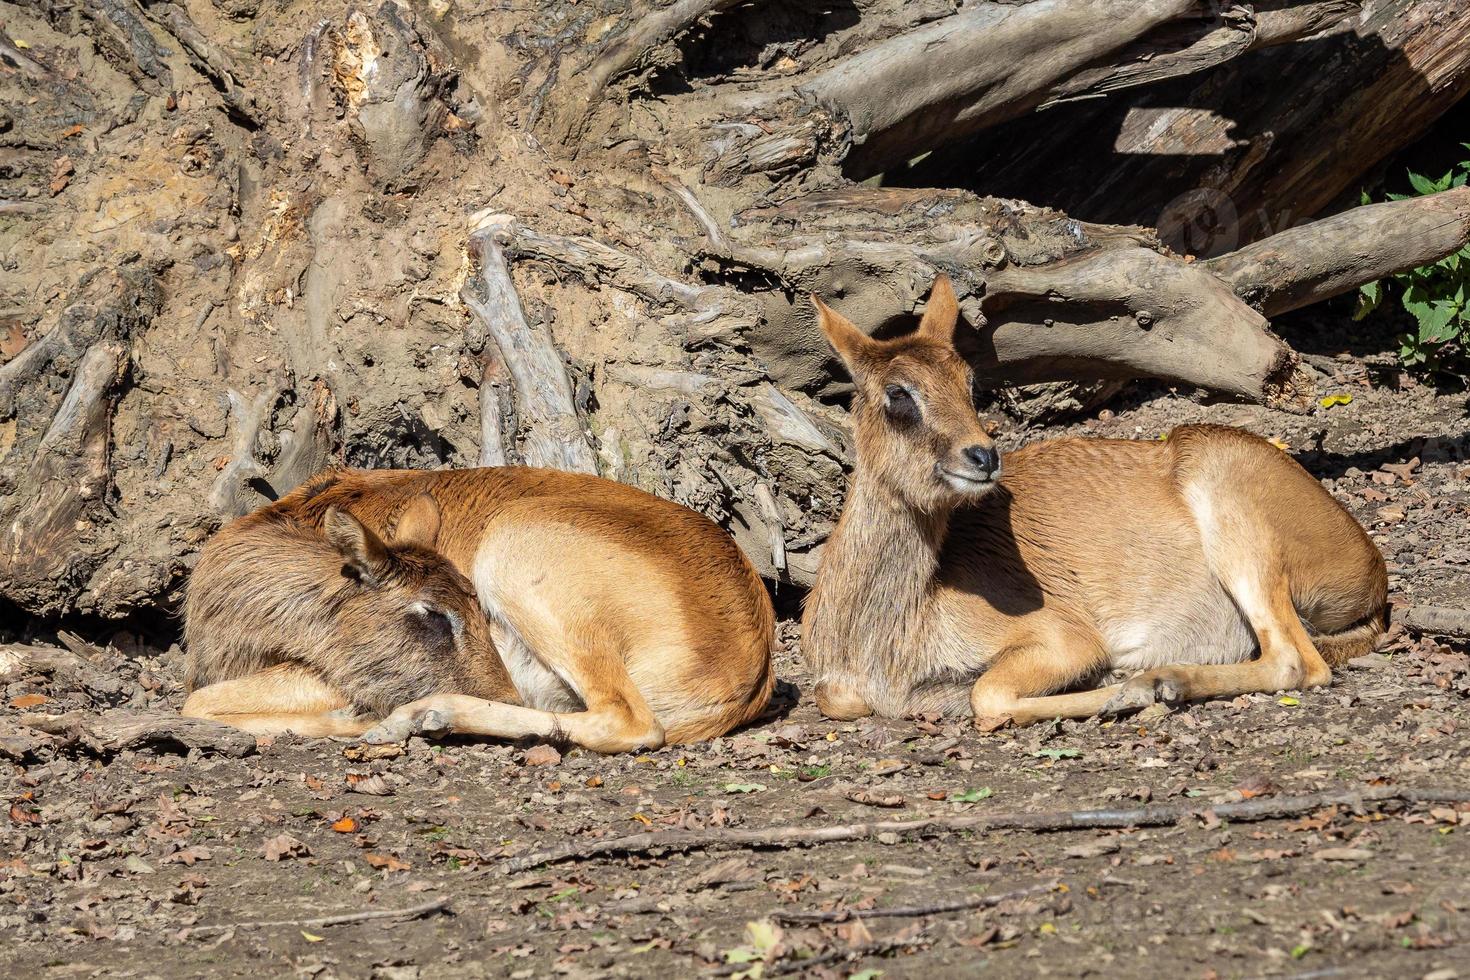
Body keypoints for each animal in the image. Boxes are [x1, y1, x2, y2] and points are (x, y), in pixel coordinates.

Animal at [182, 467, 776, 752]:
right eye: (433, 614)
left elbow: (197, 703)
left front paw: (359, 719)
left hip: (514, 553)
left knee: (629, 721)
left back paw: (419, 718)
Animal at [805, 276, 1387, 728]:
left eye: (969, 383)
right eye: (898, 393)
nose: (984, 455)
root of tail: (1372, 571)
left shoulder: (1062, 638)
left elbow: (986, 695)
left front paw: (1121, 688)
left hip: (1240, 534)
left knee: (1297, 662)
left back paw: (1156, 682)